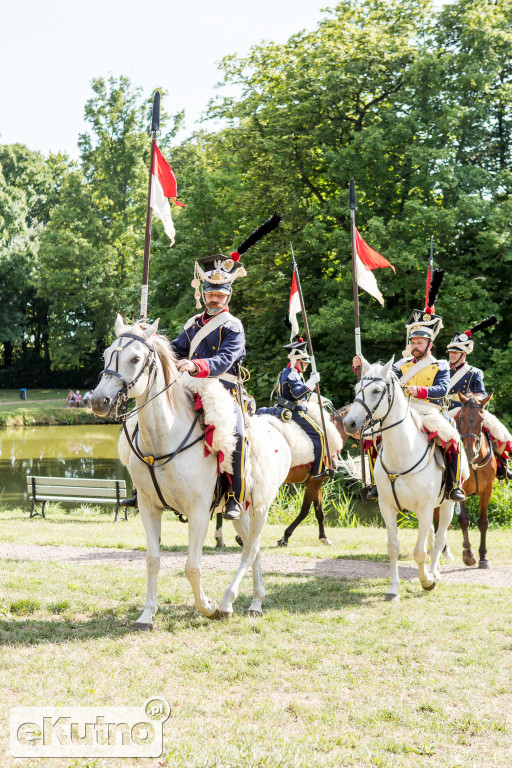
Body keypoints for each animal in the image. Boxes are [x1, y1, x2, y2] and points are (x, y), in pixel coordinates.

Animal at [91, 316, 292, 628]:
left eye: (135, 358)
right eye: (106, 355)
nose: (99, 401)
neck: (162, 439)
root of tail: (277, 431)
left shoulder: (198, 512)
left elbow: (192, 567)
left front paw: (208, 606)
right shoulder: (148, 508)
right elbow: (153, 560)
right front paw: (147, 614)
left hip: (262, 505)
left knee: (250, 550)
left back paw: (228, 602)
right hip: (242, 511)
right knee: (253, 547)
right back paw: (256, 602)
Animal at [213, 404, 352, 548]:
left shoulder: (316, 481)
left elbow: (319, 511)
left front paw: (323, 537)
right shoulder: (317, 480)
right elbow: (305, 511)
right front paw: (285, 537)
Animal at [342, 356, 454, 604]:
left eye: (376, 390)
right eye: (356, 388)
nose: (349, 423)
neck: (404, 453)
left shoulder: (424, 508)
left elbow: (419, 551)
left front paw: (427, 581)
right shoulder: (387, 507)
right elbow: (393, 547)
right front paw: (393, 588)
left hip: (448, 504)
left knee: (440, 539)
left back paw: (434, 573)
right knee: (431, 538)